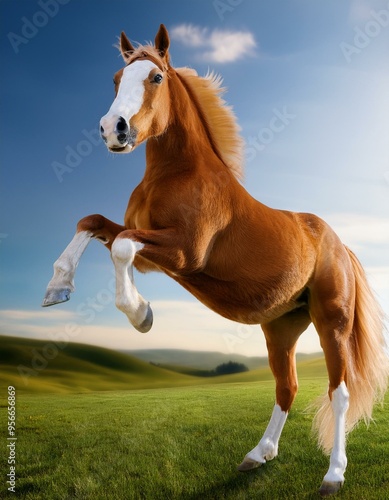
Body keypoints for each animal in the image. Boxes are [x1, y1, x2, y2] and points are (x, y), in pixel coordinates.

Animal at [43, 24, 388, 496]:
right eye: (116, 79)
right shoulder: (150, 252)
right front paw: (56, 289)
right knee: (287, 387)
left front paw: (142, 315)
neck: (177, 174)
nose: (113, 130)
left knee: (340, 393)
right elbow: (93, 222)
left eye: (156, 78)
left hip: (331, 322)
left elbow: (122, 246)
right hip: (281, 329)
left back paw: (333, 475)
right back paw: (257, 455)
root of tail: (338, 243)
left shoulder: (183, 253)